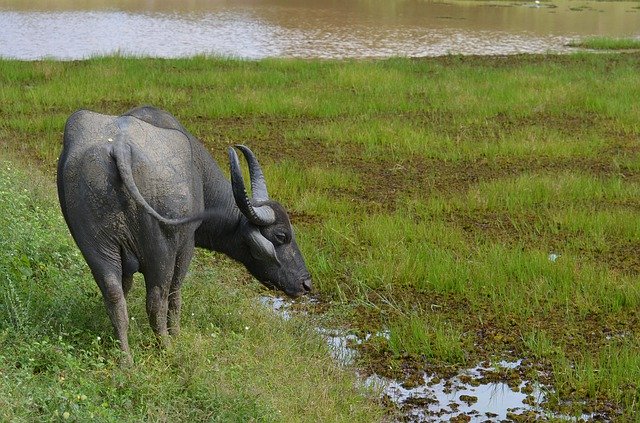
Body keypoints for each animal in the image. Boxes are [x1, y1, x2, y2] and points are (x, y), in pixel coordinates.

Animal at [57, 107, 312, 364]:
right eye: (282, 236)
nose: (306, 284)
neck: (199, 177)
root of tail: (118, 148)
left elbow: (124, 292)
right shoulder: (186, 247)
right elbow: (176, 294)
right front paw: (177, 335)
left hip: (96, 247)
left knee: (114, 297)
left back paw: (125, 359)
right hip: (161, 250)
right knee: (157, 299)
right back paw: (167, 346)